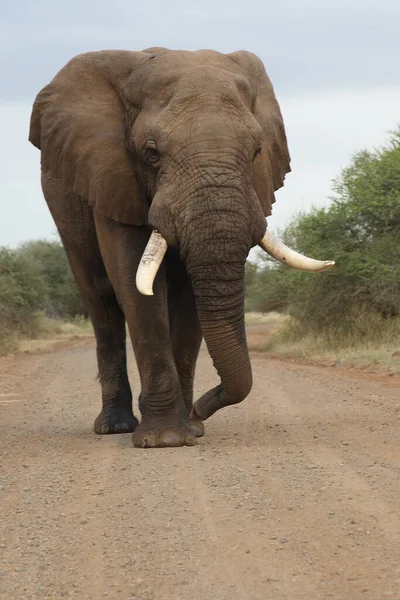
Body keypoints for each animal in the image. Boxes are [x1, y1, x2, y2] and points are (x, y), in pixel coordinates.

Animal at [28, 48, 334, 450]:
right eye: (151, 153)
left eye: (257, 151)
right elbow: (134, 282)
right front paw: (164, 440)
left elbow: (189, 300)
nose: (206, 405)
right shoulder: (112, 176)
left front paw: (190, 430)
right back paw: (115, 425)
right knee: (101, 302)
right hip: (64, 208)